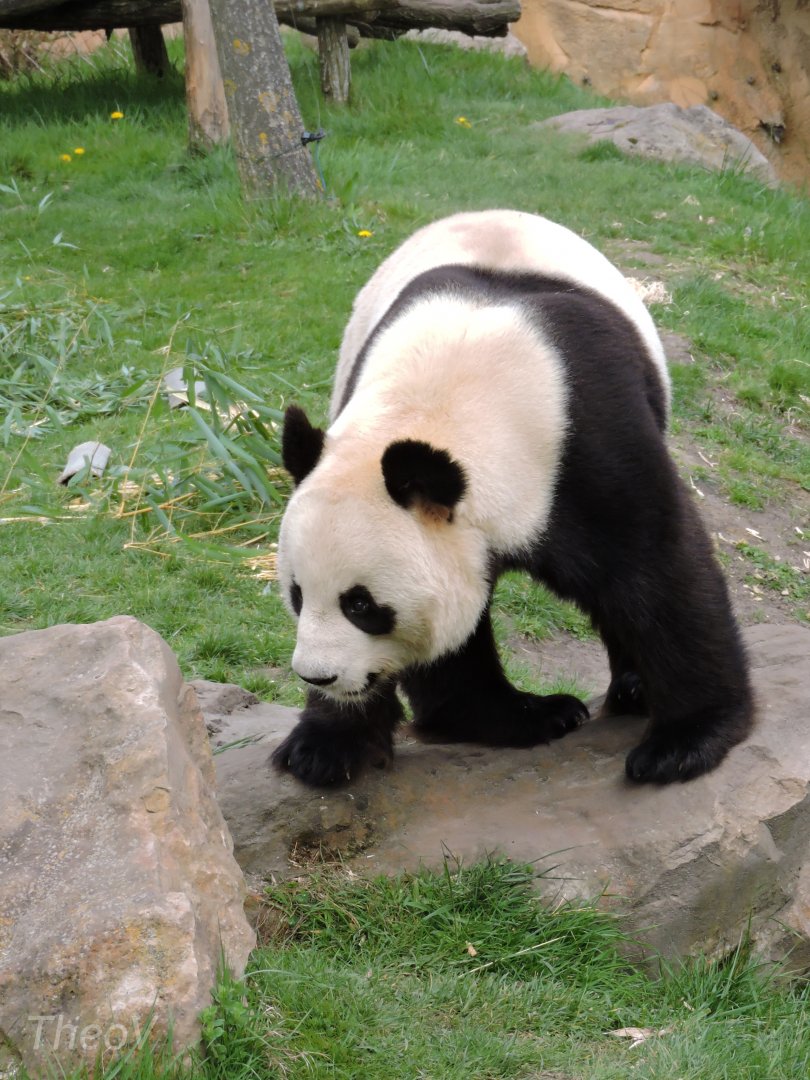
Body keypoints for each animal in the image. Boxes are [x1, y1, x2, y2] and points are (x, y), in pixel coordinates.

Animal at [272, 209, 753, 788]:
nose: (316, 675)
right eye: (298, 594)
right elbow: (451, 645)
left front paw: (683, 744)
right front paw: (328, 746)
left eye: (362, 605)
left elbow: (658, 571)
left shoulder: (587, 442)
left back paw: (635, 689)